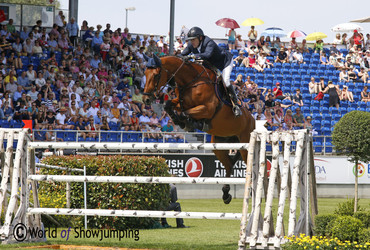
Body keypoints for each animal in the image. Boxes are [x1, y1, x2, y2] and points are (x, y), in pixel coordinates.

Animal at [142, 54, 254, 203]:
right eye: (145, 73)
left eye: (155, 75)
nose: (146, 100)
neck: (190, 81)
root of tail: (253, 119)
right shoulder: (180, 103)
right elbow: (168, 104)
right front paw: (180, 121)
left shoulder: (207, 109)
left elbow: (185, 113)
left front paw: (190, 123)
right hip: (218, 145)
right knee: (229, 165)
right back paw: (226, 194)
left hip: (245, 145)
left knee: (250, 166)